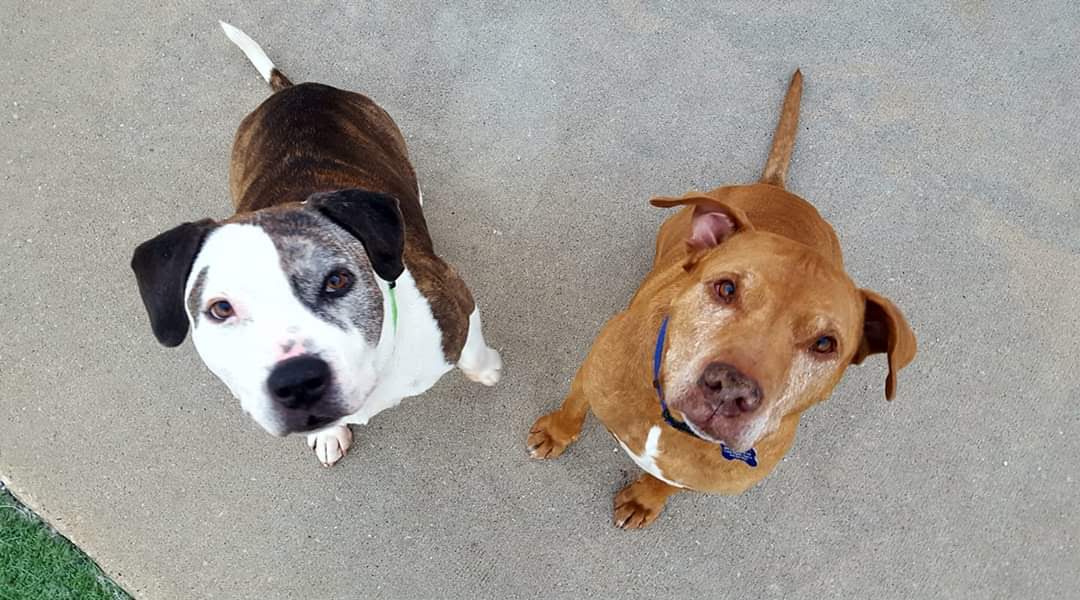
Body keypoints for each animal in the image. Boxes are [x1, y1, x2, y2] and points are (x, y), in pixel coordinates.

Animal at [131, 23, 502, 466]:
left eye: (337, 281)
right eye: (220, 309)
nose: (297, 382)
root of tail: (293, 92)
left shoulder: (453, 292)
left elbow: (472, 351)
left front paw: (487, 369)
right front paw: (329, 435)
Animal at [527, 70, 916, 528]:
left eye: (825, 344)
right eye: (726, 288)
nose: (731, 389)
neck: (672, 425)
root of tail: (778, 188)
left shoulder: (697, 478)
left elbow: (668, 484)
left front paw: (645, 499)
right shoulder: (590, 377)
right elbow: (573, 409)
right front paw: (554, 433)